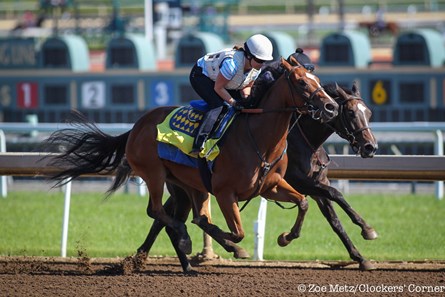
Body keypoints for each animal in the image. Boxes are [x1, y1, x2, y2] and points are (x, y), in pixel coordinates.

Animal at [44, 56, 336, 268]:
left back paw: (186, 263)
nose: (331, 106)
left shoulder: (270, 185)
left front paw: (285, 237)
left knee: (181, 217)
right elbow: (237, 232)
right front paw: (234, 247)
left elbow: (303, 202)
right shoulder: (224, 192)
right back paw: (185, 241)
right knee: (158, 212)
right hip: (154, 174)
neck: (259, 137)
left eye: (318, 79)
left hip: (185, 185)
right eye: (301, 83)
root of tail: (136, 126)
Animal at [137, 80, 376, 272]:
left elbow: (334, 219)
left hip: (183, 188)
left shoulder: (315, 182)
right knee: (164, 218)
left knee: (165, 219)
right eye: (351, 113)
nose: (370, 147)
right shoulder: (301, 182)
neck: (304, 138)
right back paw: (147, 255)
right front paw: (367, 229)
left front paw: (360, 256)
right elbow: (335, 193)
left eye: (369, 113)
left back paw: (147, 256)